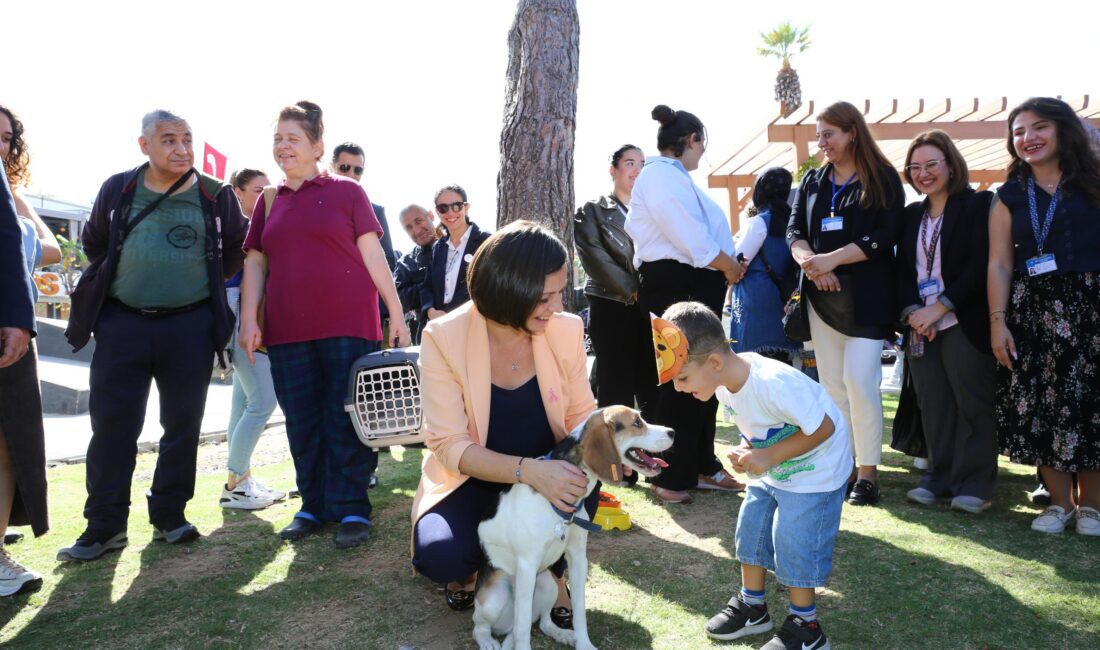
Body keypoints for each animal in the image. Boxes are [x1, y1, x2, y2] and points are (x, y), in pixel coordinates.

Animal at [470, 404, 668, 646]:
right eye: (637, 423)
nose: (673, 432)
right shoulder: (527, 565)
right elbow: (523, 627)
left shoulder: (578, 559)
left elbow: (579, 611)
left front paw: (584, 644)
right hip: (493, 599)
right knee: (484, 627)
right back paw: (488, 641)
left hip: (548, 585)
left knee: (542, 622)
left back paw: (561, 633)